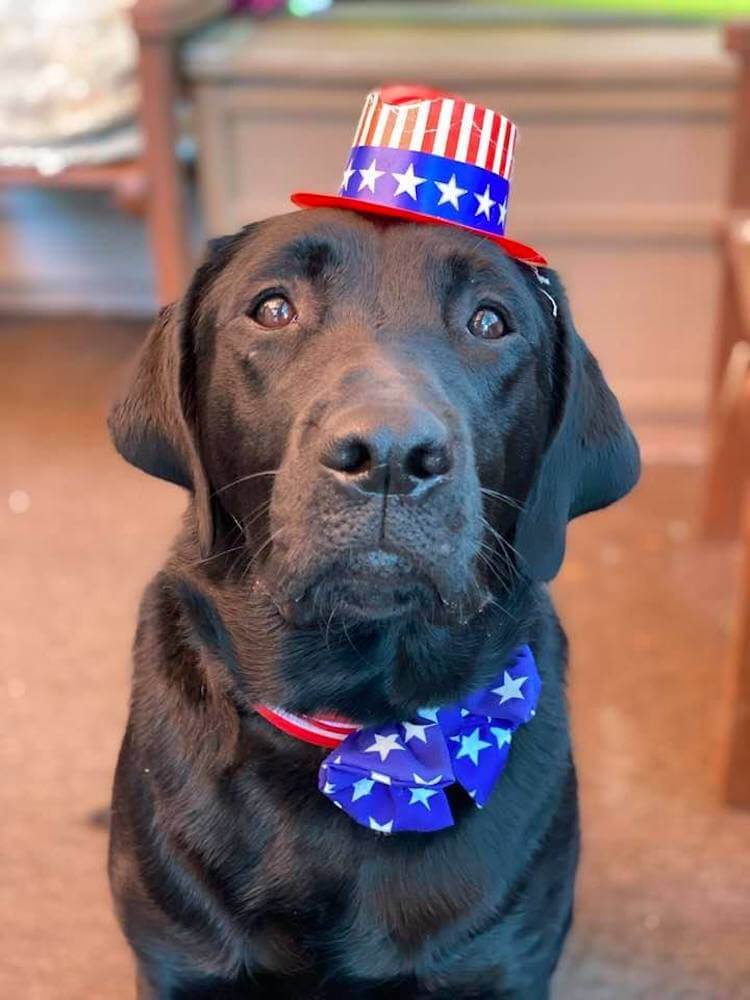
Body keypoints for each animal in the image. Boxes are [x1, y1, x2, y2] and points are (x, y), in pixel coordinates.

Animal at [108, 207, 640, 996]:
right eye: (274, 309)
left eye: (490, 322)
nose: (390, 454)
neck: (360, 729)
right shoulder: (177, 957)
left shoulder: (506, 961)